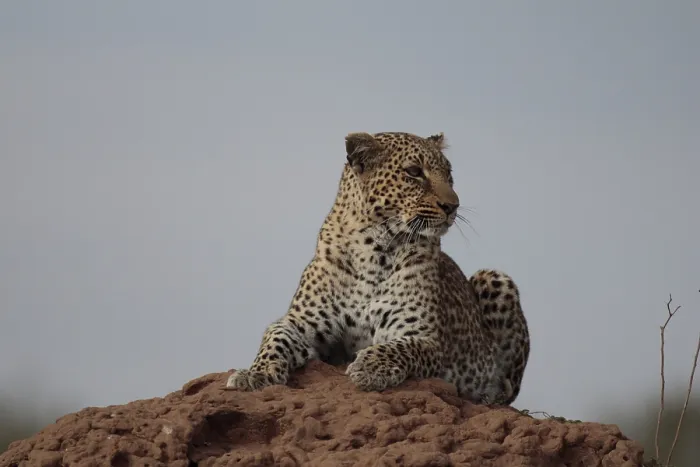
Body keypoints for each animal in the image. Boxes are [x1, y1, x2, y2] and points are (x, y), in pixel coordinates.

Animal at [227, 131, 530, 405]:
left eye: (448, 174)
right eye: (414, 172)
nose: (452, 206)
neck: (373, 249)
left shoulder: (423, 337)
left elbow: (399, 348)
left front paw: (369, 368)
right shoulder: (301, 322)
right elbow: (275, 337)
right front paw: (254, 374)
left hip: (493, 278)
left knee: (508, 389)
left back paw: (489, 394)